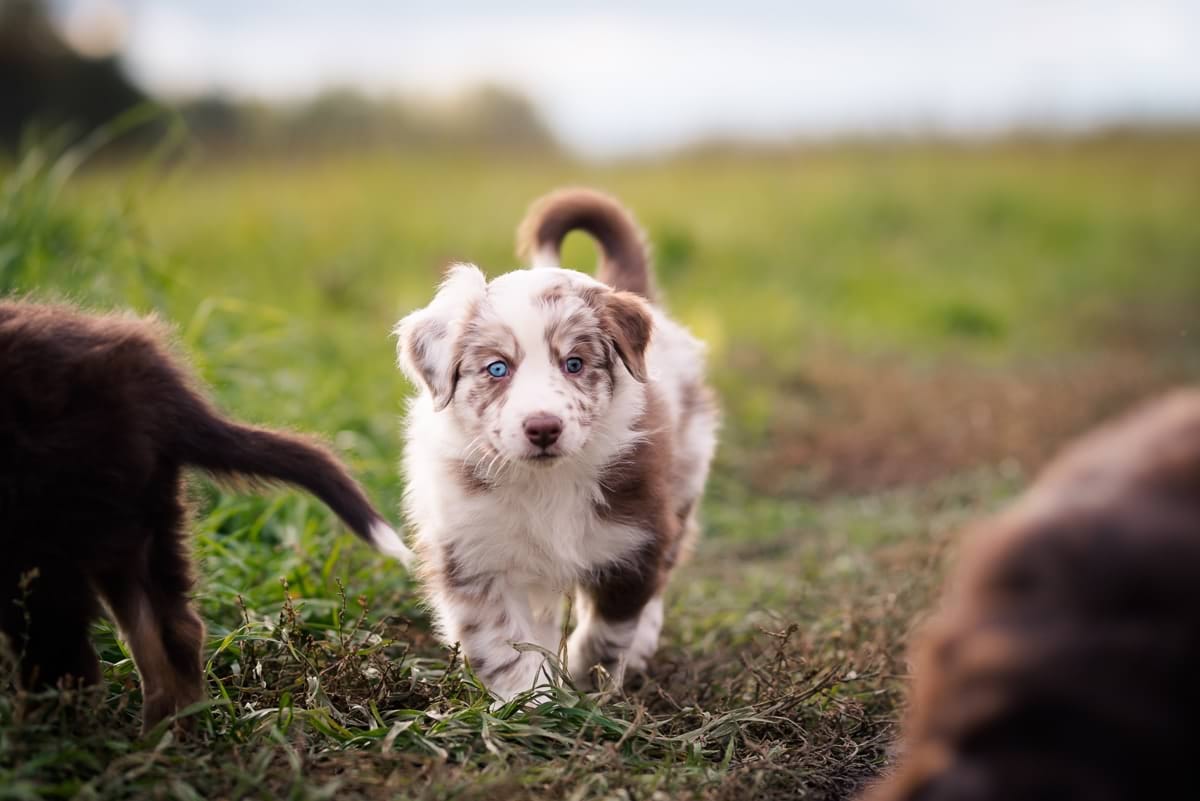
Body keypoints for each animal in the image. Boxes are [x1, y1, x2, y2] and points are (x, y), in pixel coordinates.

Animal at [0, 299, 412, 733]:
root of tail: (156, 385)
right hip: (136, 516)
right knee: (168, 631)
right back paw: (164, 738)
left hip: (49, 533)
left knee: (63, 656)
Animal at [393, 189, 715, 700]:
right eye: (497, 368)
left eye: (574, 363)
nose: (543, 427)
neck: (546, 483)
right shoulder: (471, 553)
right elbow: (502, 642)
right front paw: (533, 703)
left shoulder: (633, 536)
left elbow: (612, 627)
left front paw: (588, 682)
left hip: (685, 477)